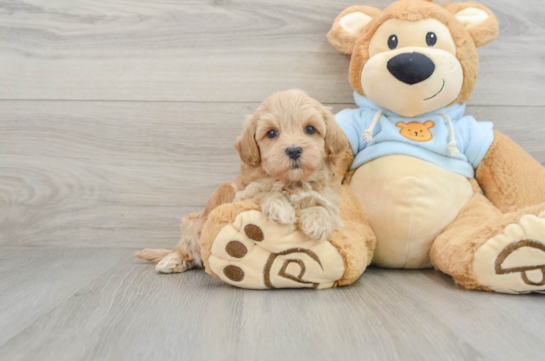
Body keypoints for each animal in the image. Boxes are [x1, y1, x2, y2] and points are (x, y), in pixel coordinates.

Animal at [136, 90, 348, 276]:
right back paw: (172, 260)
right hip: (194, 225)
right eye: (272, 133)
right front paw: (280, 207)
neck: (292, 182)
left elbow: (324, 208)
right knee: (186, 247)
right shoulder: (242, 195)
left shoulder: (332, 204)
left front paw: (316, 222)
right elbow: (264, 192)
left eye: (310, 129)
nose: (294, 150)